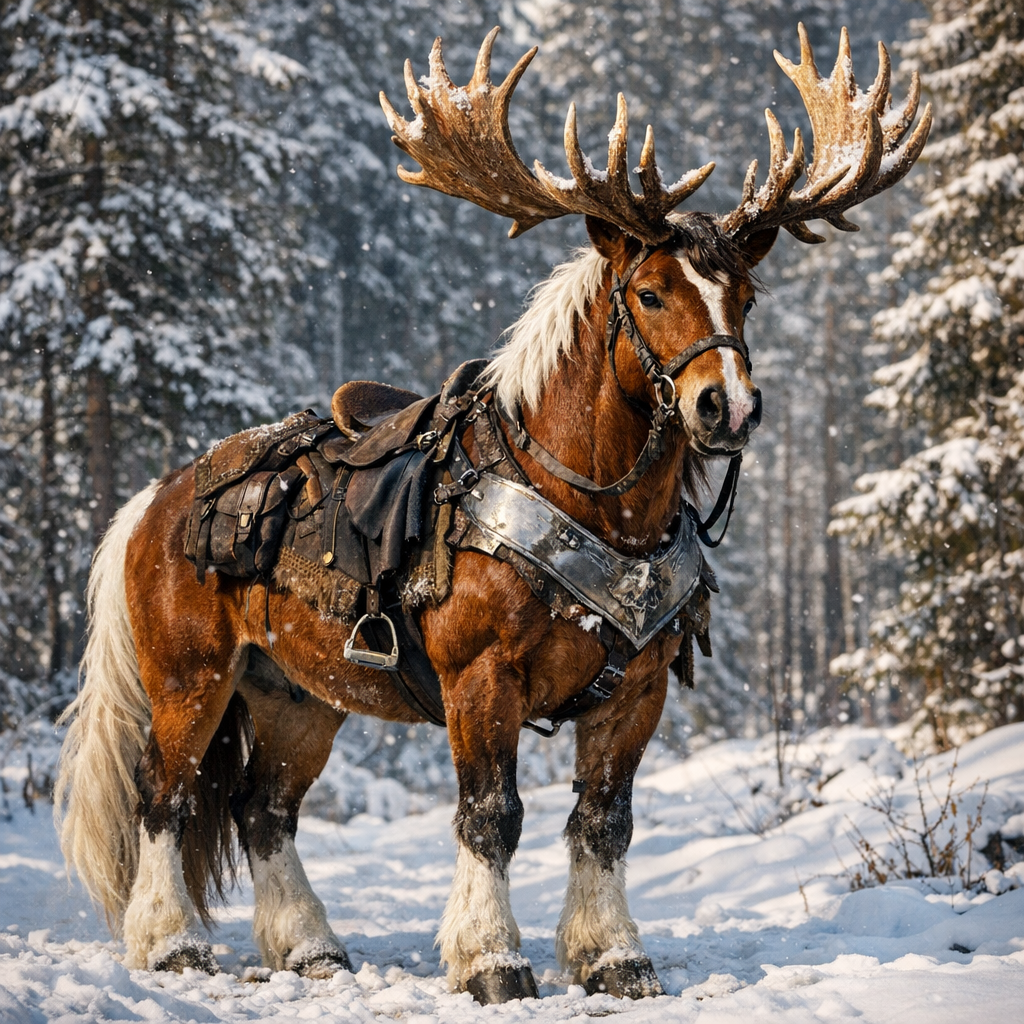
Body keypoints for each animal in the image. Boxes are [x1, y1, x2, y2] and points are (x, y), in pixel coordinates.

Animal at [55, 25, 929, 1004]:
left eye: (744, 296)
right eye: (651, 292)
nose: (727, 407)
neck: (600, 506)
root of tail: (151, 503)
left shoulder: (639, 688)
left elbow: (605, 821)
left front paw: (614, 955)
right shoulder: (481, 677)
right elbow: (490, 816)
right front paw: (491, 959)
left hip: (298, 693)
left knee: (262, 808)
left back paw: (311, 946)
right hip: (190, 676)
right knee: (163, 795)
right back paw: (170, 942)